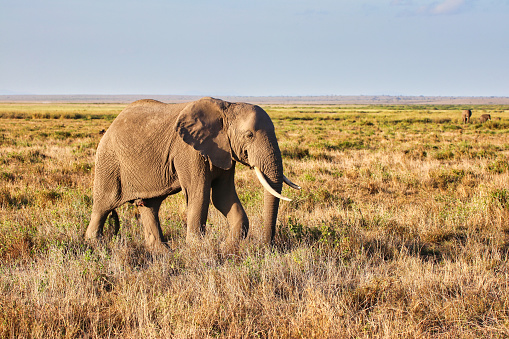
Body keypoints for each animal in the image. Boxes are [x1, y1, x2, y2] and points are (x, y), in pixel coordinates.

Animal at [85, 97, 300, 251]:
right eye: (249, 135)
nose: (268, 248)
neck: (227, 106)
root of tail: (112, 124)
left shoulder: (224, 150)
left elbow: (223, 196)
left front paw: (226, 246)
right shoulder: (188, 151)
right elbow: (199, 193)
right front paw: (199, 247)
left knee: (149, 205)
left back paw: (162, 252)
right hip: (109, 162)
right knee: (103, 205)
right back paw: (96, 247)